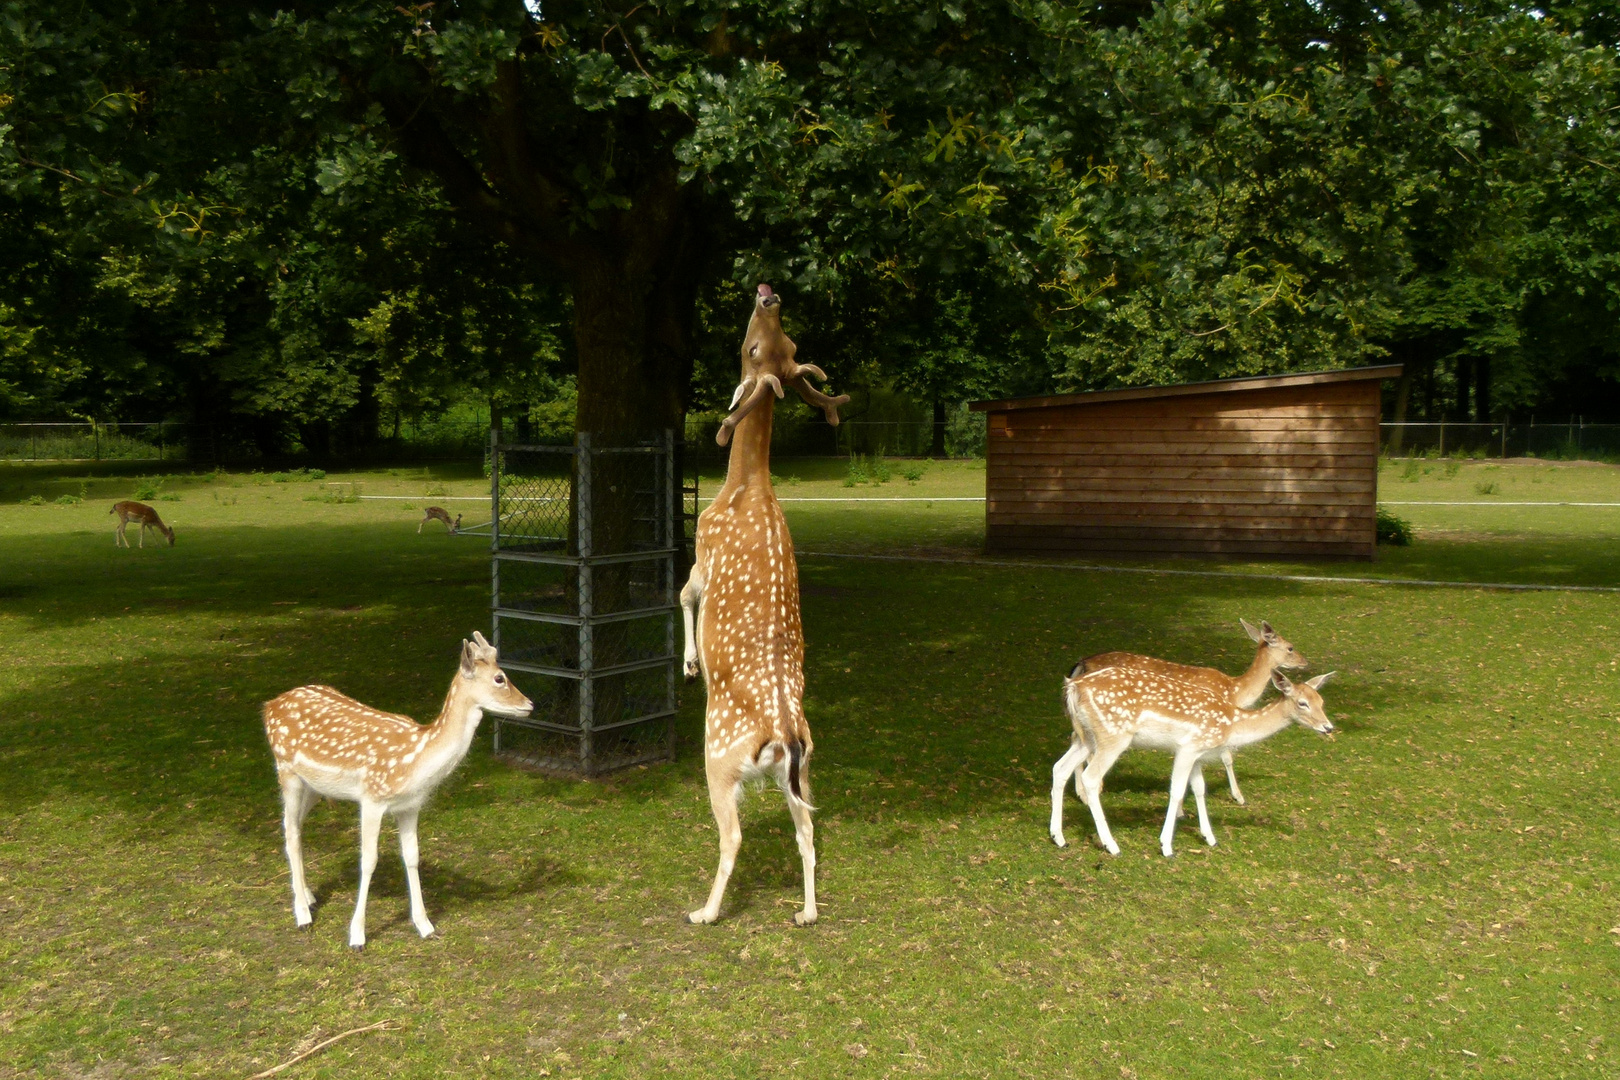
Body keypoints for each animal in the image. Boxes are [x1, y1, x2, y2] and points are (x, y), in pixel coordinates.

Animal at [260, 628, 531, 952]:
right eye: (500, 678)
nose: (530, 704)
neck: (415, 761)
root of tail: (269, 705)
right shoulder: (372, 798)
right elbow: (368, 861)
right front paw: (357, 936)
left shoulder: (410, 806)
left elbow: (412, 856)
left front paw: (426, 925)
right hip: (286, 770)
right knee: (289, 830)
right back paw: (302, 914)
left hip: (313, 786)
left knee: (296, 827)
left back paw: (310, 896)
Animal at [677, 284, 848, 932]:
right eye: (784, 345)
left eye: (754, 349)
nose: (769, 294)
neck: (743, 488)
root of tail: (785, 736)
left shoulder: (704, 548)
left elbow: (683, 593)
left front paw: (690, 664)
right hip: (800, 772)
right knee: (808, 832)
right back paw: (806, 912)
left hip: (720, 760)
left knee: (733, 837)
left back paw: (704, 912)